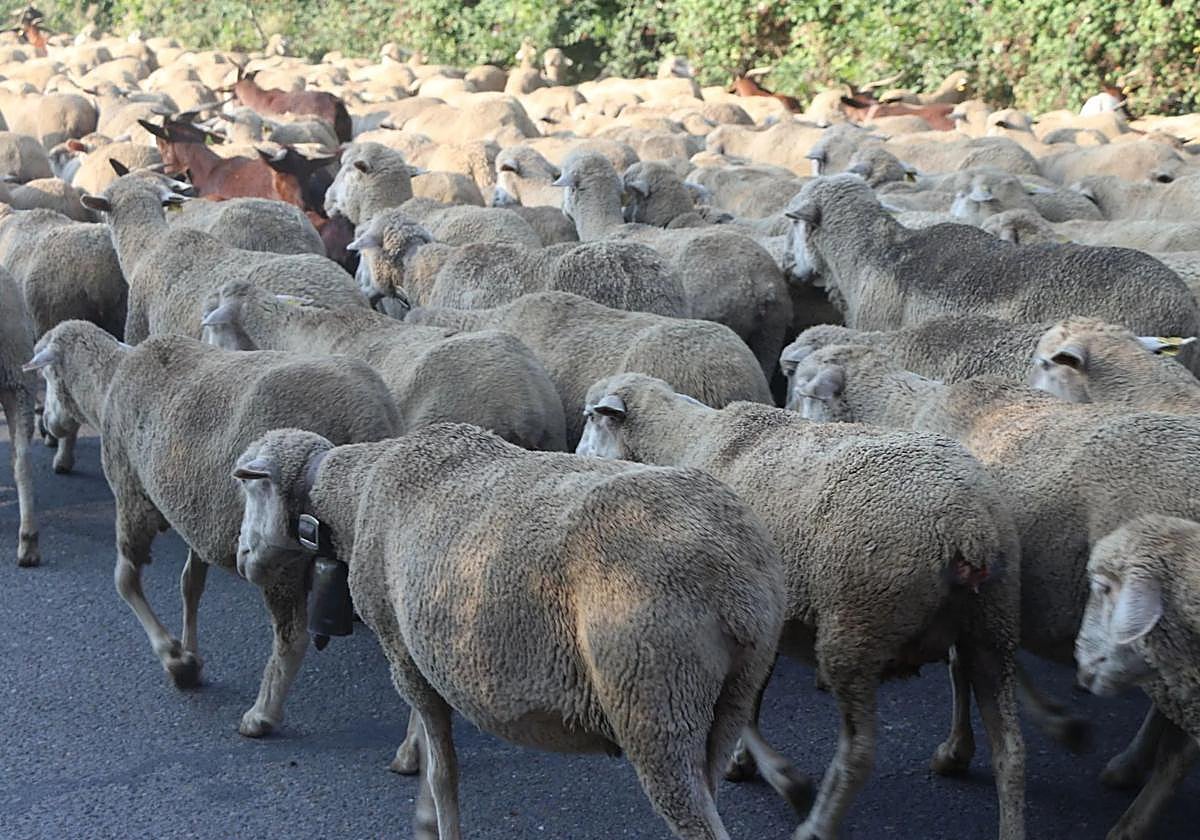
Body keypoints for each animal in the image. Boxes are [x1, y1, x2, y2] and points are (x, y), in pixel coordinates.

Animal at [24, 320, 401, 734]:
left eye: (47, 374)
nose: (48, 425)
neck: (107, 385)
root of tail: (368, 414)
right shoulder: (195, 514)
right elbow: (190, 584)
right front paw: (190, 652)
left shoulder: (132, 496)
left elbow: (125, 580)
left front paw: (176, 660)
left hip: (282, 553)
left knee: (292, 635)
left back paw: (262, 714)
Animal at [231, 422, 785, 840]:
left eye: (248, 487)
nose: (242, 558)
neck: (354, 492)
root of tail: (736, 579)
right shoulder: (419, 641)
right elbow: (428, 743)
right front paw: (415, 777)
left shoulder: (397, 640)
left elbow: (443, 770)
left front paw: (436, 820)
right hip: (727, 701)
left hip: (655, 700)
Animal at [576, 373, 1025, 840]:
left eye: (591, 418)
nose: (576, 456)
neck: (687, 440)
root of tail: (969, 526)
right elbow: (750, 702)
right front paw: (745, 761)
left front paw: (782, 778)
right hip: (992, 625)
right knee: (1010, 750)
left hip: (856, 627)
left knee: (859, 753)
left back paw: (816, 823)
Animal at [785, 342, 1200, 781]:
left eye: (806, 391)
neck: (907, 412)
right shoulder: (989, 593)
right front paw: (1054, 720)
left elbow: (960, 670)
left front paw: (958, 749)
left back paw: (1131, 765)